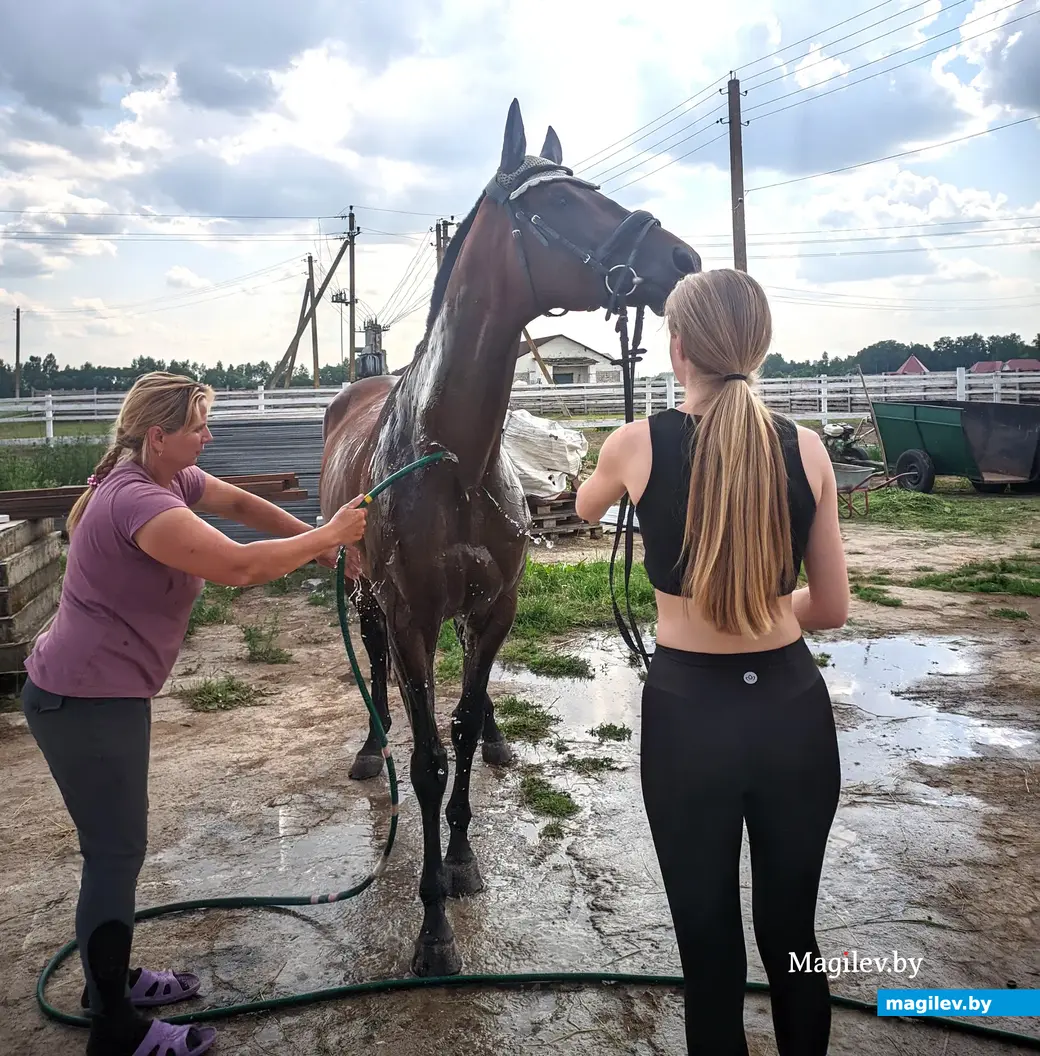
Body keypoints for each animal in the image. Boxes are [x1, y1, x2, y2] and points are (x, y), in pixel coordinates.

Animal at [320, 97, 701, 971]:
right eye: (557, 201)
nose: (681, 255)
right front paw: (432, 927)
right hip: (364, 594)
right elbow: (428, 759)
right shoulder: (413, 613)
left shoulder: (495, 607)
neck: (453, 457)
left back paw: (492, 739)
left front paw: (461, 857)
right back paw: (370, 747)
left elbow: (460, 731)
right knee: (378, 666)